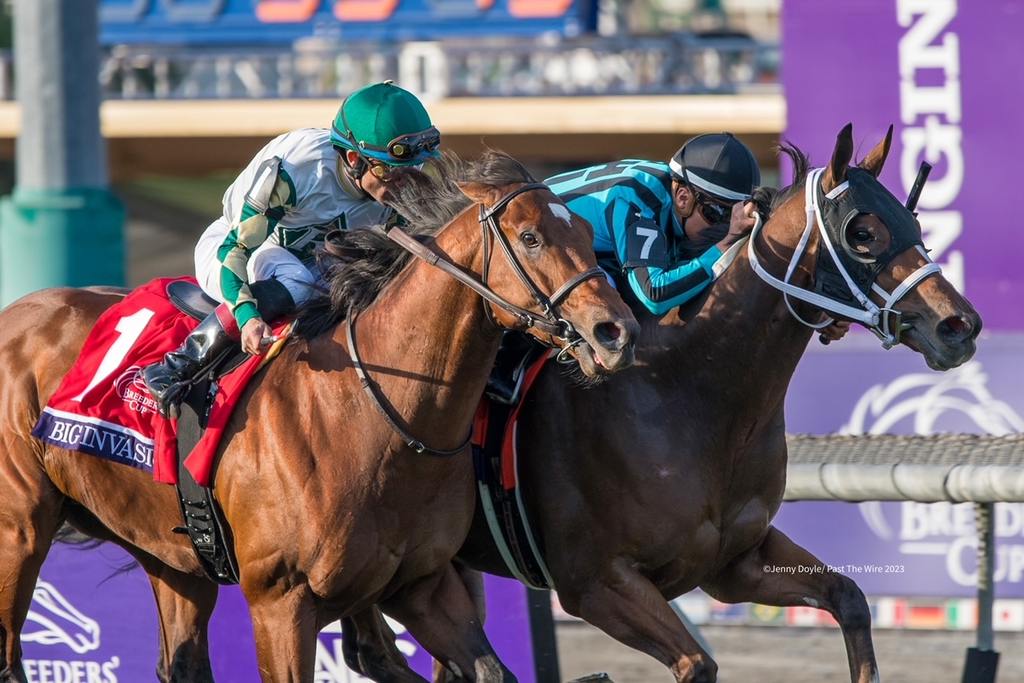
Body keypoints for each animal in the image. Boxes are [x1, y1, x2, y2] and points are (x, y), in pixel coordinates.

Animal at [0, 152, 638, 679]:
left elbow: (486, 670)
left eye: (586, 231)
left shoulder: (422, 584)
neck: (372, 414)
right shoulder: (279, 601)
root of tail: (19, 309)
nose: (616, 332)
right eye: (530, 237)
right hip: (20, 529)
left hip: (172, 553)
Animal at [342, 126, 974, 683]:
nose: (959, 325)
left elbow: (851, 599)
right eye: (862, 231)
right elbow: (697, 663)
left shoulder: (736, 562)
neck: (690, 396)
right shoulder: (596, 583)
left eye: (912, 221)